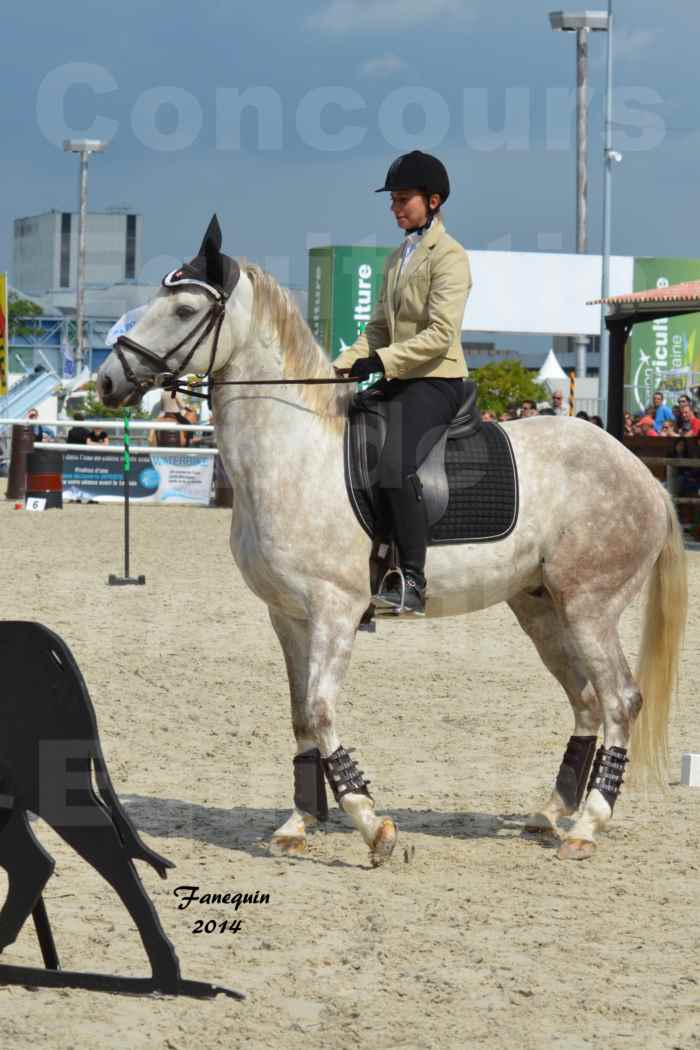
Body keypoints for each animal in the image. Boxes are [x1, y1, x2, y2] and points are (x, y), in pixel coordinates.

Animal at [96, 240, 688, 869]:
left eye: (184, 310)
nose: (107, 382)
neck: (294, 450)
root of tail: (642, 474)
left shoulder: (334, 612)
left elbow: (321, 710)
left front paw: (371, 824)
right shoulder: (287, 616)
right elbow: (301, 716)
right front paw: (298, 822)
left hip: (589, 608)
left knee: (620, 701)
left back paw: (587, 826)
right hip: (540, 607)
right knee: (586, 700)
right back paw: (550, 814)